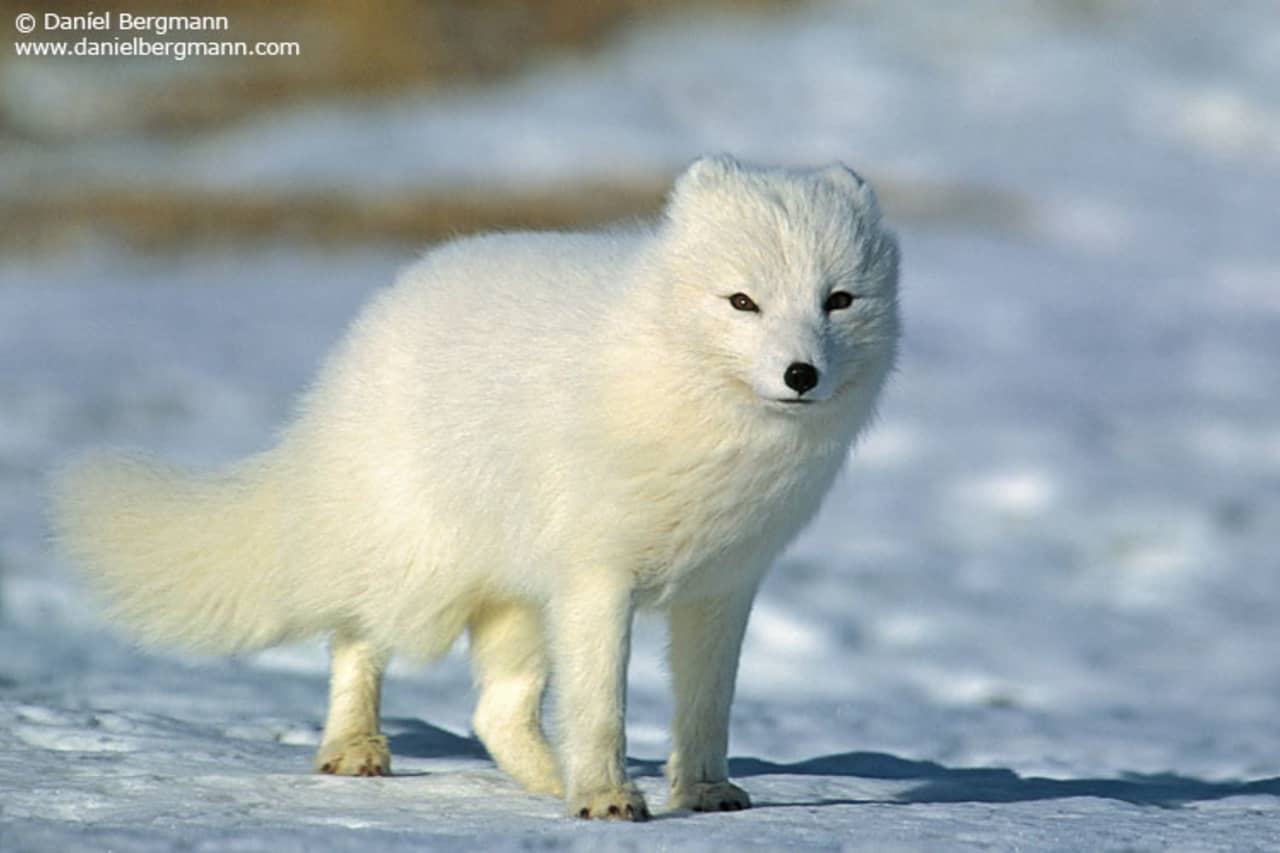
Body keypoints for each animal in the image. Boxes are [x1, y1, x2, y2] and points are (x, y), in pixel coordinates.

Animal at [52, 156, 901, 819]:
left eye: (837, 300)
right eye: (741, 301)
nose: (801, 373)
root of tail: (362, 337)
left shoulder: (723, 587)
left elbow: (706, 706)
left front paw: (700, 791)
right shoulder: (597, 577)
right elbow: (602, 706)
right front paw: (606, 798)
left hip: (520, 599)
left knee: (493, 711)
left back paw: (546, 781)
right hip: (421, 570)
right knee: (354, 636)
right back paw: (357, 747)